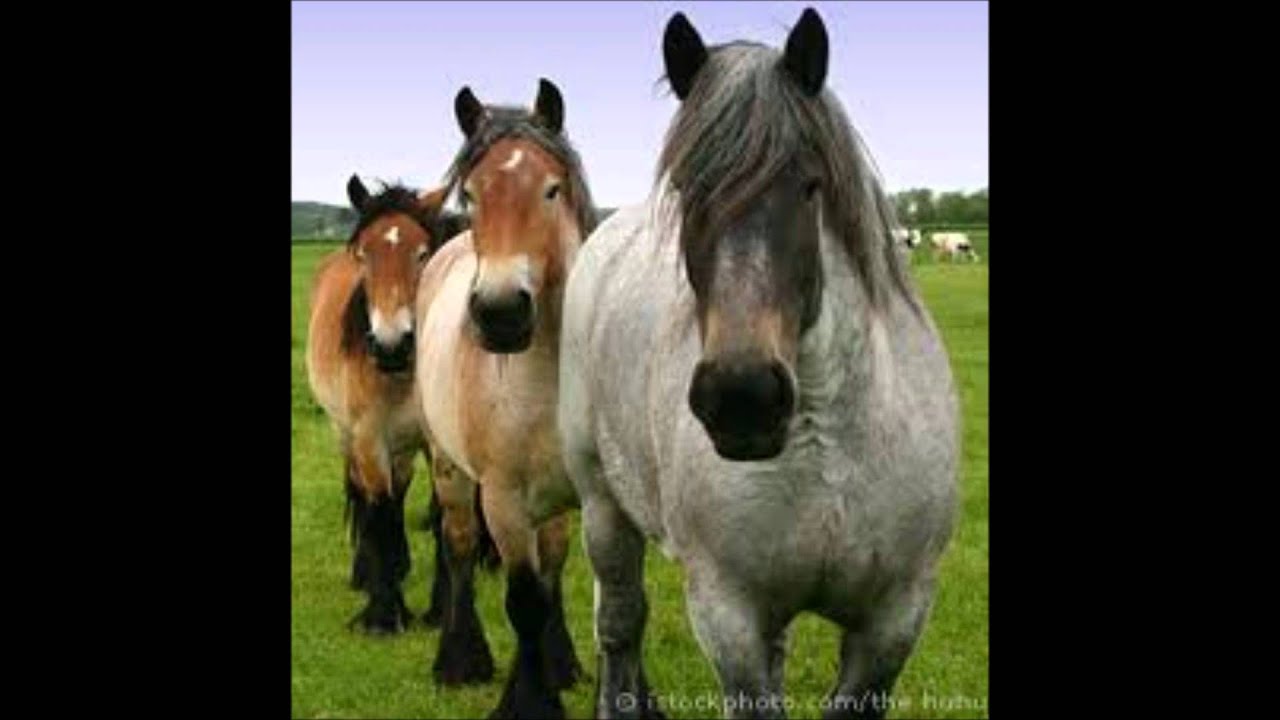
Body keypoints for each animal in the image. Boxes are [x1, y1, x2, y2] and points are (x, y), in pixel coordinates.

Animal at [305, 175, 458, 634]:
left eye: (423, 253)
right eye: (364, 255)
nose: (391, 345)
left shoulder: (435, 443)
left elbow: (441, 516)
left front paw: (440, 609)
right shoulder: (369, 439)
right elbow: (380, 511)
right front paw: (384, 613)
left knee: (401, 485)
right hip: (346, 434)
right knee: (364, 495)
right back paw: (365, 572)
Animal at [415, 78, 597, 716]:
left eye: (551, 189)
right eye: (470, 196)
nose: (499, 313)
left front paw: (561, 669)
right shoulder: (503, 500)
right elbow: (523, 601)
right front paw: (530, 699)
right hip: (448, 469)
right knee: (461, 546)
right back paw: (458, 659)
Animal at [559, 8, 959, 719]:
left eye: (810, 186)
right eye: (687, 190)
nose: (741, 396)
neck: (831, 447)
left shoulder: (893, 621)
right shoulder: (729, 616)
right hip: (603, 508)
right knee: (620, 627)